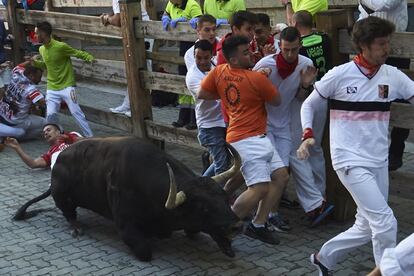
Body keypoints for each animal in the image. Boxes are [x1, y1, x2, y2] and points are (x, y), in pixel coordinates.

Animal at [12, 137, 243, 262]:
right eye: (203, 208)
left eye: (225, 197)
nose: (236, 226)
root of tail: (59, 160)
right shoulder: (126, 226)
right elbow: (145, 251)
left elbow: (194, 231)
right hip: (62, 196)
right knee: (68, 212)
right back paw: (76, 227)